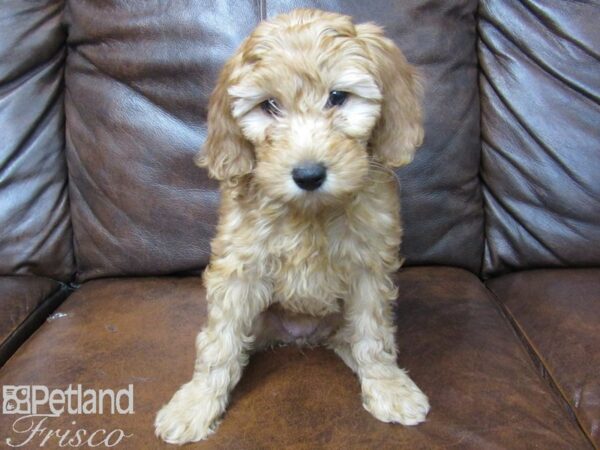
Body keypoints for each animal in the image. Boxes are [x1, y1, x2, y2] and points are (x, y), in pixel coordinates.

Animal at [155, 8, 426, 444]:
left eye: (338, 97)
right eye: (269, 105)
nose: (309, 174)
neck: (309, 212)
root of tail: (302, 335)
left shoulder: (369, 268)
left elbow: (373, 333)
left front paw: (388, 386)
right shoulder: (239, 267)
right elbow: (219, 342)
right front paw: (196, 402)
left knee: (354, 336)